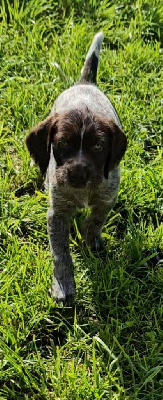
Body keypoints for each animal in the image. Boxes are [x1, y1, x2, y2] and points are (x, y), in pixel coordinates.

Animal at [26, 32, 126, 302]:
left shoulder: (106, 198)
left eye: (99, 146)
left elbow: (95, 221)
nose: (79, 174)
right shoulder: (57, 212)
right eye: (62, 144)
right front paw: (62, 284)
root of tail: (85, 84)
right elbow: (60, 252)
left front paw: (91, 241)